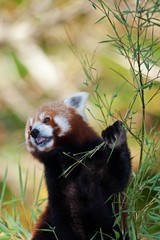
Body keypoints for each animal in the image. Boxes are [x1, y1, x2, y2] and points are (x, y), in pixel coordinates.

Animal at [25, 92, 131, 240]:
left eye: (46, 119)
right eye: (29, 128)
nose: (34, 132)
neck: (68, 158)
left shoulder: (94, 158)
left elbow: (116, 179)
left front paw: (115, 138)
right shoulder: (56, 180)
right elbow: (66, 218)